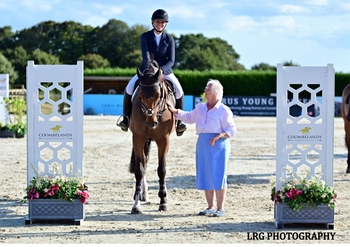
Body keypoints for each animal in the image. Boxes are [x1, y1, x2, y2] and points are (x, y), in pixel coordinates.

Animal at [128, 58, 176, 213]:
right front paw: (136, 205)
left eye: (159, 95)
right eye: (140, 95)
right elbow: (140, 170)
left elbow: (162, 170)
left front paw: (163, 201)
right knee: (145, 162)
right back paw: (142, 194)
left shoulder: (164, 140)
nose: (151, 122)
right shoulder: (138, 138)